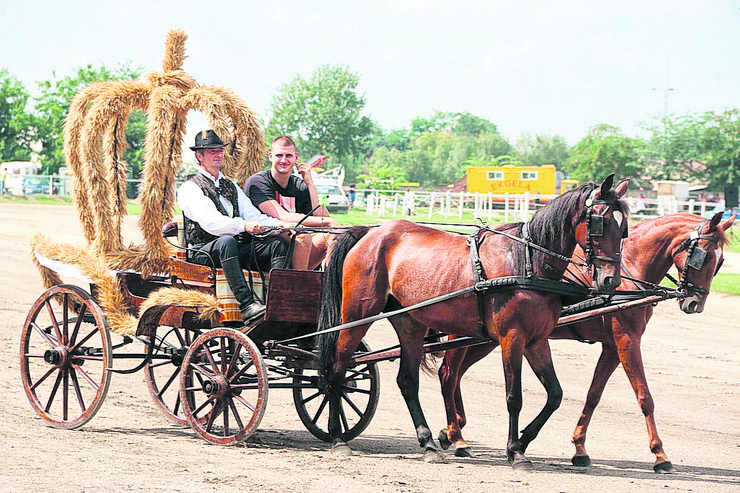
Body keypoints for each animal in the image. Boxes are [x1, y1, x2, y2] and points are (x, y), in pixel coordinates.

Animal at [316, 175, 628, 468]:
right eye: (600, 223)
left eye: (624, 228)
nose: (610, 281)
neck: (527, 261)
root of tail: (370, 232)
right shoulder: (512, 338)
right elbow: (514, 397)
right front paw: (515, 452)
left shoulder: (536, 341)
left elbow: (554, 395)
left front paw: (523, 440)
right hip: (357, 315)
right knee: (337, 370)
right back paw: (338, 438)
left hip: (409, 323)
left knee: (407, 381)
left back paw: (428, 443)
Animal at [436, 209, 732, 470]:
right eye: (702, 256)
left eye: (720, 262)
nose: (695, 303)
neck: (630, 267)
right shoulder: (627, 340)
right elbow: (644, 397)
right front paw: (660, 455)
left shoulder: (612, 346)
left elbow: (593, 395)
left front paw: (579, 448)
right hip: (467, 333)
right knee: (449, 374)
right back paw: (457, 436)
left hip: (485, 339)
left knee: (454, 374)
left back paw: (452, 430)